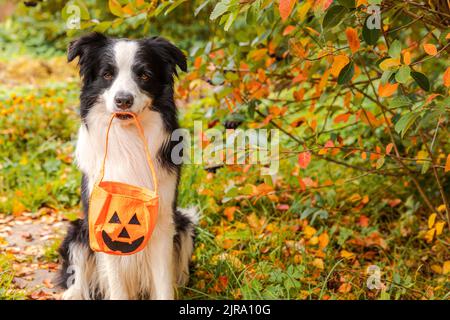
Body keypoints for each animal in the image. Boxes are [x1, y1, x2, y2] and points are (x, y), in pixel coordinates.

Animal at [56, 33, 197, 300]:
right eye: (107, 74)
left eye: (145, 75)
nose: (123, 100)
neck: (127, 140)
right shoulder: (101, 221)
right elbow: (116, 283)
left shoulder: (163, 220)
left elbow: (163, 282)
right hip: (78, 230)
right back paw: (73, 292)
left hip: (185, 224)